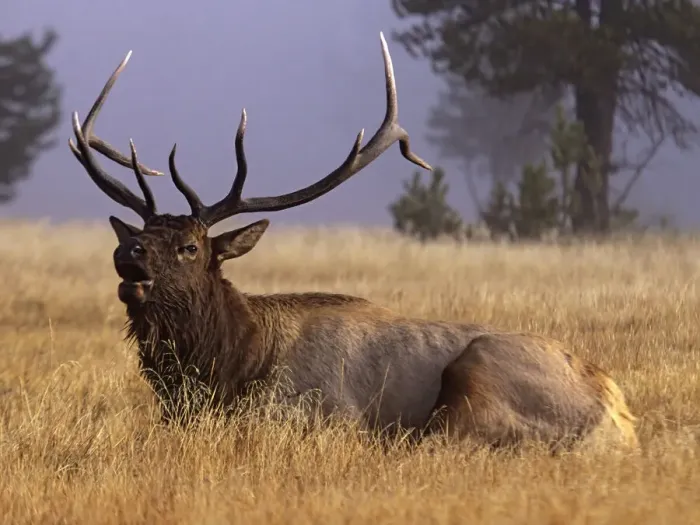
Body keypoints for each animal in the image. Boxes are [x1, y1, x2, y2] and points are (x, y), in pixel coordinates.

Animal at [68, 33, 638, 452]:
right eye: (141, 233)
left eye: (191, 246)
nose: (128, 253)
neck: (233, 366)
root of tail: (620, 417)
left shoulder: (322, 415)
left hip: (478, 376)